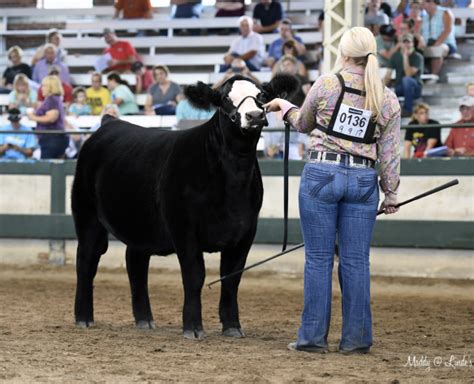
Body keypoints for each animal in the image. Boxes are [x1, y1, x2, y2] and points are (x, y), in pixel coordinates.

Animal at [71, 73, 296, 338]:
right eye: (225, 99)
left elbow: (232, 278)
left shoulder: (245, 230)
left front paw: (232, 326)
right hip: (87, 214)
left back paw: (144, 319)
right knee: (86, 260)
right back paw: (83, 318)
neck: (233, 179)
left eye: (261, 95)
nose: (254, 115)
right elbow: (194, 275)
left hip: (141, 223)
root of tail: (110, 123)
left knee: (136, 263)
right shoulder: (183, 227)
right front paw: (193, 327)